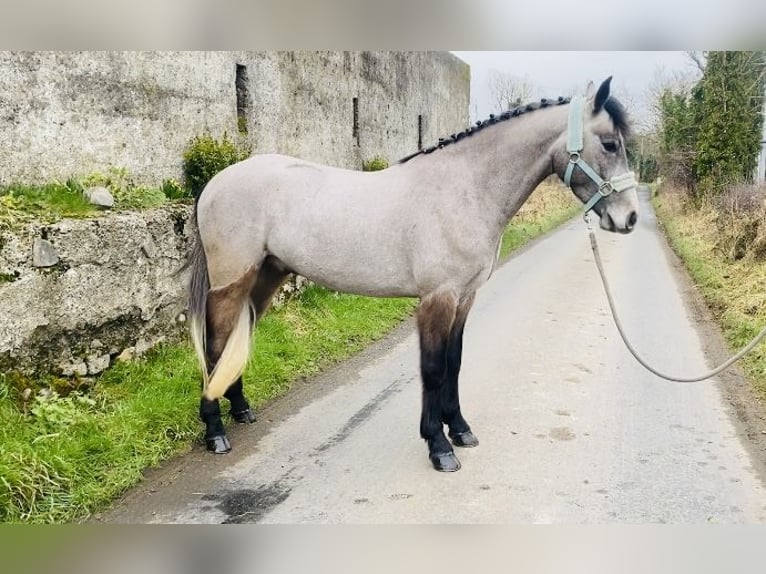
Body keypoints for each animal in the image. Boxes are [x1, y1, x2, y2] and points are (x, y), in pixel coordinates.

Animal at [184, 75, 636, 472]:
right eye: (610, 144)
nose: (628, 218)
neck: (465, 188)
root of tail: (215, 183)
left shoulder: (464, 297)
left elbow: (454, 362)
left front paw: (460, 430)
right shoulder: (438, 298)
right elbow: (433, 369)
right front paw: (439, 446)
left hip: (266, 276)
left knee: (238, 335)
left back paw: (241, 409)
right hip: (231, 281)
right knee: (215, 343)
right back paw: (215, 430)